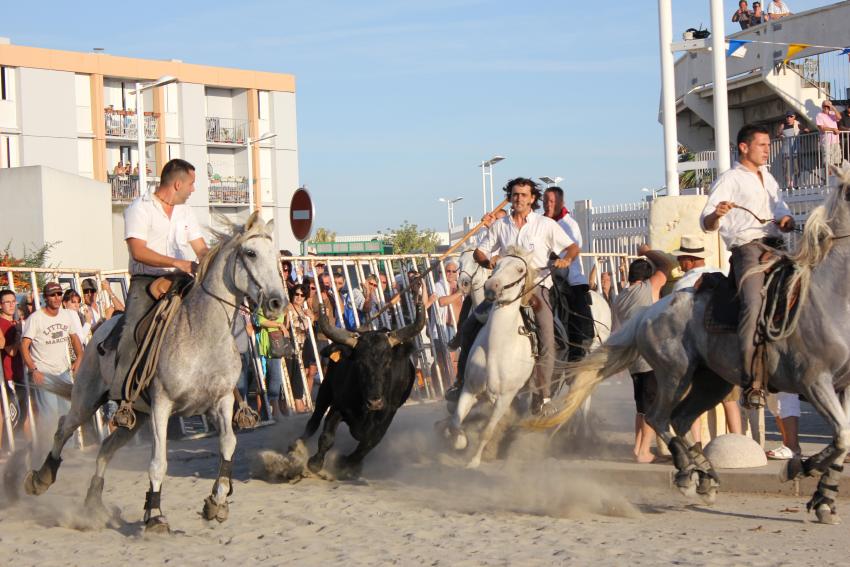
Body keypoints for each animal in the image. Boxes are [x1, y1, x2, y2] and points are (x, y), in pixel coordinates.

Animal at [298, 300, 424, 478]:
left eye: (388, 363)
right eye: (360, 363)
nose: (375, 402)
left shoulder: (386, 416)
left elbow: (368, 443)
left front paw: (346, 464)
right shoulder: (338, 406)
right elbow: (327, 437)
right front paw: (315, 463)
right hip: (325, 388)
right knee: (314, 420)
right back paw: (297, 447)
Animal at [448, 247, 532, 466]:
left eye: (520, 269)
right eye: (497, 264)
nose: (491, 286)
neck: (497, 349)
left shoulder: (504, 398)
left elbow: (487, 431)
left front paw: (474, 462)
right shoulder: (470, 388)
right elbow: (456, 421)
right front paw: (460, 441)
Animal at [548, 163, 848, 524]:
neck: (826, 297)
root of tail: (650, 311)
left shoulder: (841, 387)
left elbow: (843, 439)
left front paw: (822, 496)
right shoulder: (815, 382)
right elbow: (842, 436)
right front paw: (800, 472)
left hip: (712, 382)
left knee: (680, 419)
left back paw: (704, 476)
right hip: (675, 374)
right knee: (659, 417)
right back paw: (687, 473)